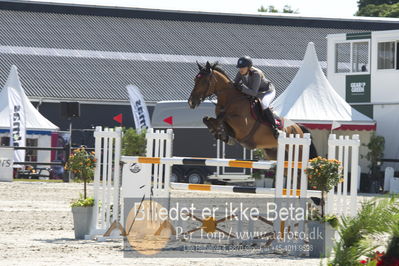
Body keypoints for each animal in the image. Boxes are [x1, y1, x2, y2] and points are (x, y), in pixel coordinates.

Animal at [188, 61, 318, 160]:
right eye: (195, 80)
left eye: (204, 81)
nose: (191, 102)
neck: (231, 100)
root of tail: (298, 127)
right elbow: (207, 119)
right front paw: (220, 133)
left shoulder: (242, 127)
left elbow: (222, 119)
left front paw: (222, 134)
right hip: (274, 153)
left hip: (297, 151)